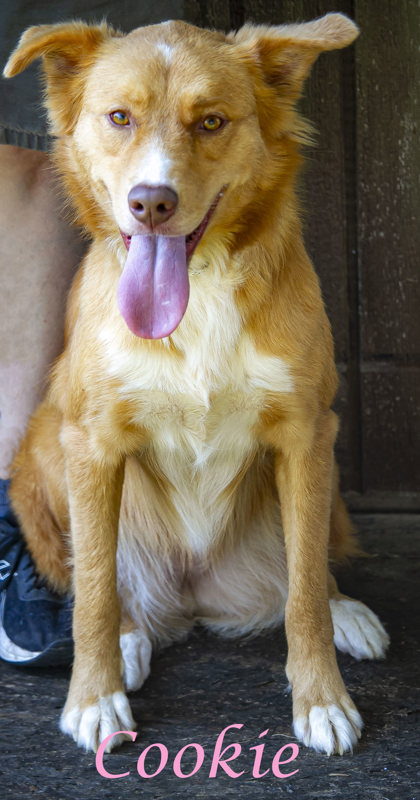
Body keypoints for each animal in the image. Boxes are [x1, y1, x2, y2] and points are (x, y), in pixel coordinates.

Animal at [4, 14, 388, 756]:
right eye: (119, 117)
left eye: (211, 121)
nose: (151, 203)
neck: (199, 285)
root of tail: (194, 595)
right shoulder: (90, 442)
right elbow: (95, 589)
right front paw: (93, 699)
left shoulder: (306, 433)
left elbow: (302, 592)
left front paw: (321, 699)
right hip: (44, 447)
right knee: (104, 582)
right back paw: (129, 641)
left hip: (327, 475)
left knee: (311, 570)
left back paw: (347, 610)